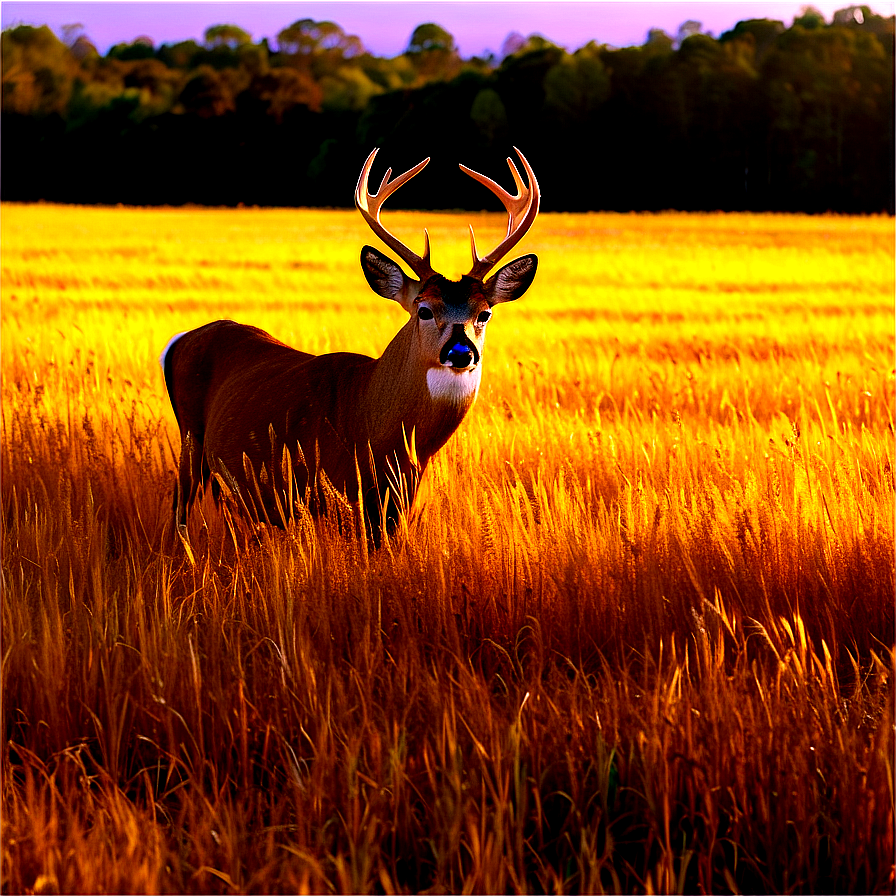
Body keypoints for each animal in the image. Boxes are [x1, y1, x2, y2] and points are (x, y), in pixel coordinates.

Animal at [160, 147, 540, 544]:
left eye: (484, 313)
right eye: (424, 309)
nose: (462, 352)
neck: (371, 427)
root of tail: (179, 341)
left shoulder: (393, 509)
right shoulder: (331, 494)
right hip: (189, 439)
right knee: (179, 509)